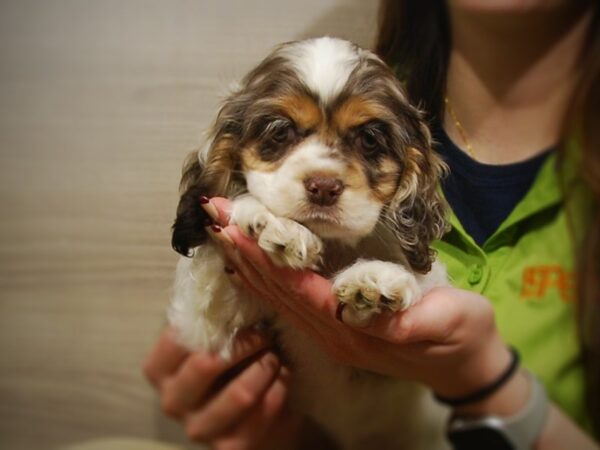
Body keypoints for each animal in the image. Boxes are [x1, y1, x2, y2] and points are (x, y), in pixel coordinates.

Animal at [166, 37, 448, 448]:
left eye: (369, 138)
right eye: (281, 131)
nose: (323, 186)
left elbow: (424, 281)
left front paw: (375, 280)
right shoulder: (206, 330)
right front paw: (272, 223)